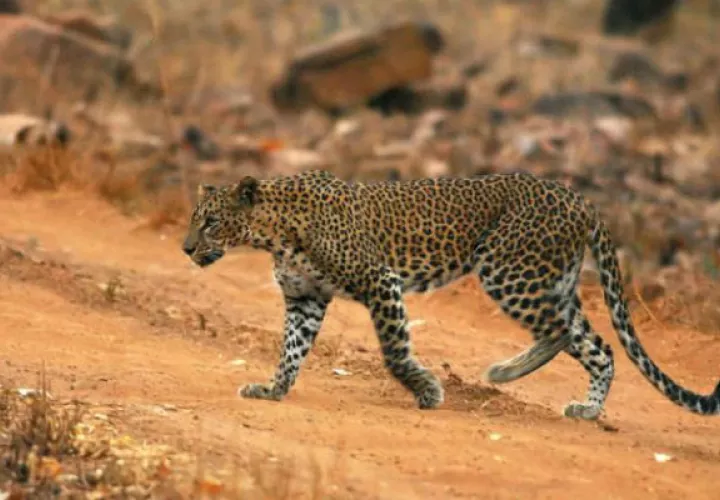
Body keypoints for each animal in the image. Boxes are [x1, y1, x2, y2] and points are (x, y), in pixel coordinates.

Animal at [181, 169, 720, 420]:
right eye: (194, 220)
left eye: (210, 222)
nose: (185, 248)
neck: (272, 232)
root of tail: (581, 199)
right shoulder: (305, 298)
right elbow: (291, 350)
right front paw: (273, 389)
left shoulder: (380, 281)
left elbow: (395, 352)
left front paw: (426, 391)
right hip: (552, 280)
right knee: (599, 346)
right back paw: (586, 409)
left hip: (507, 271)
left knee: (562, 333)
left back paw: (504, 371)